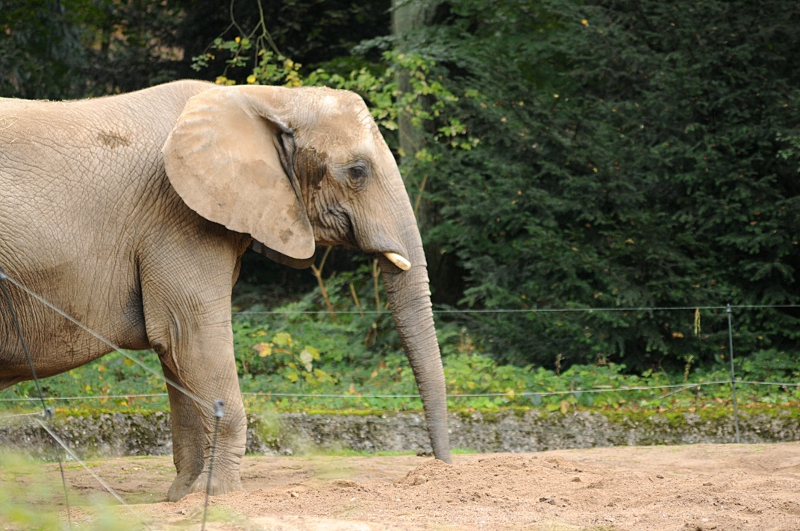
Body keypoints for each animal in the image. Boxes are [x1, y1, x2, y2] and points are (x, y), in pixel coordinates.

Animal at [0, 80, 451, 501]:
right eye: (357, 171)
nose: (437, 468)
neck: (265, 97)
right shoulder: (177, 215)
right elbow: (191, 337)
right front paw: (219, 495)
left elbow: (176, 353)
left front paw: (183, 496)